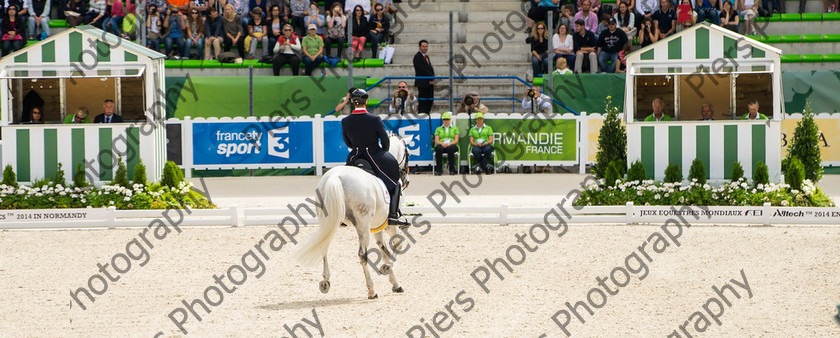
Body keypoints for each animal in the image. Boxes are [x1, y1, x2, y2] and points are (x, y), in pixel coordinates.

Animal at [298, 134, 410, 298]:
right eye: (408, 155)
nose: (407, 181)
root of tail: (336, 176)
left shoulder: (376, 227)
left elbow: (384, 251)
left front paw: (395, 284)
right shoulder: (388, 225)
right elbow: (397, 246)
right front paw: (386, 268)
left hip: (328, 222)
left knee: (324, 246)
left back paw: (325, 282)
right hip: (362, 224)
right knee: (362, 255)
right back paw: (371, 290)